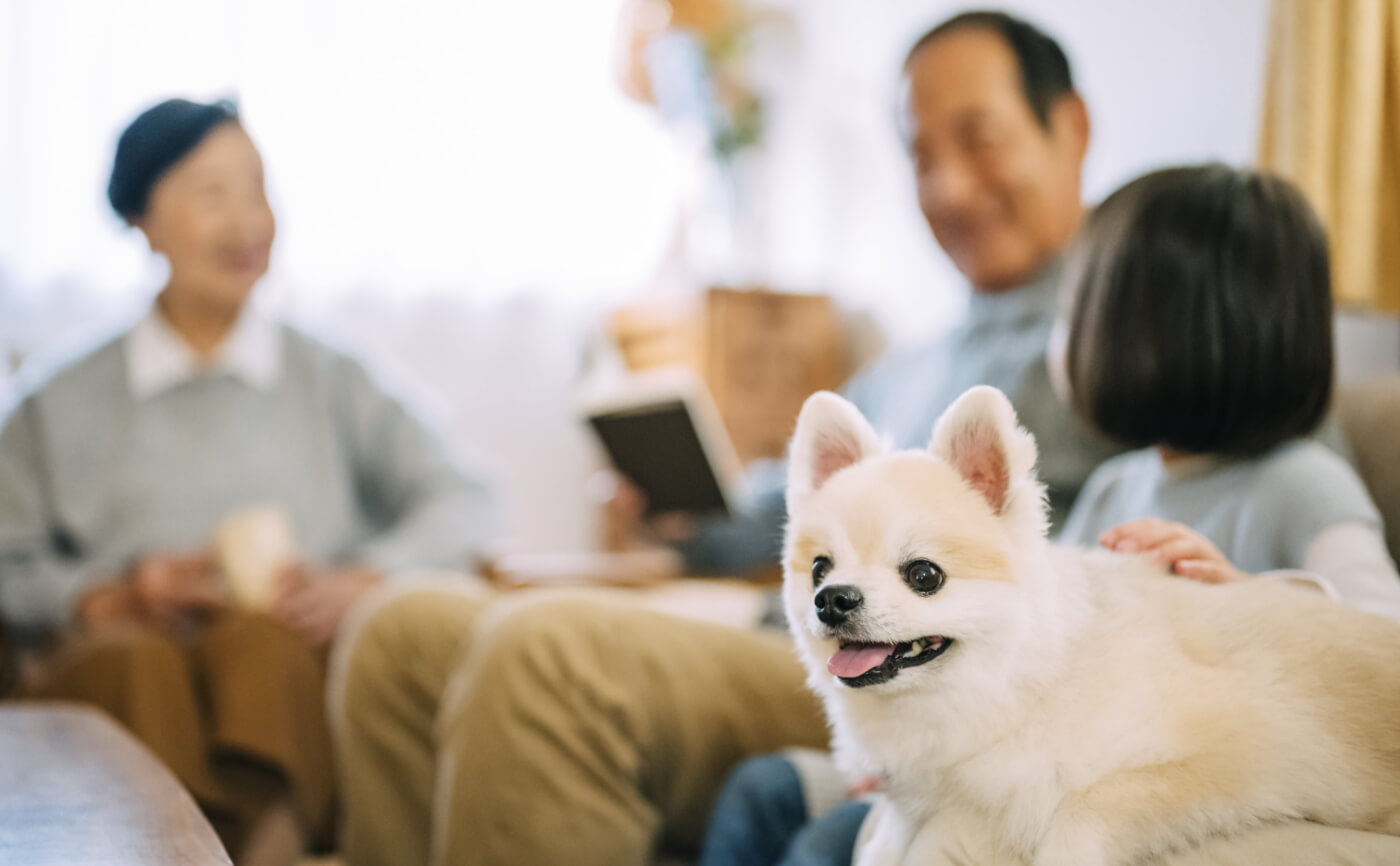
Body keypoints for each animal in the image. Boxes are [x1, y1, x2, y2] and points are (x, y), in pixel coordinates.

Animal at [784, 388, 1400, 866]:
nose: (832, 600)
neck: (1020, 686)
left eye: (923, 575)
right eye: (819, 569)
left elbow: (1086, 807)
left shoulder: (1258, 753)